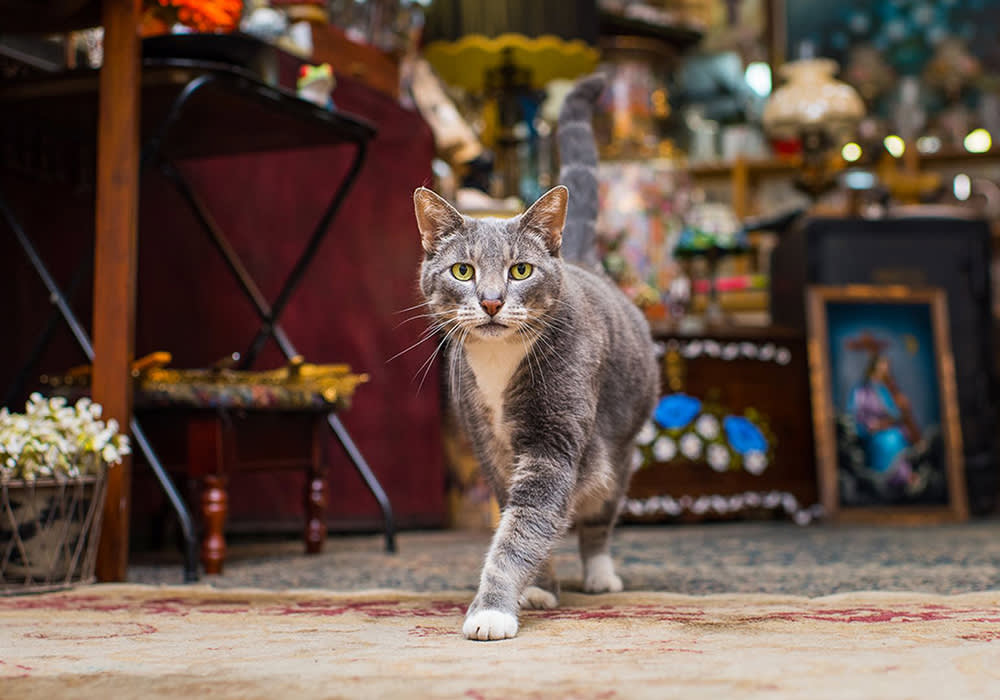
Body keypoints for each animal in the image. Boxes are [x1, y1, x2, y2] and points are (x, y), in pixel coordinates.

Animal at [412, 75, 656, 640]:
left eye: (520, 270)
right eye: (462, 271)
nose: (492, 300)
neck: (498, 361)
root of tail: (583, 260)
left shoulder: (552, 444)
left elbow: (521, 532)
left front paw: (491, 610)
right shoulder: (489, 448)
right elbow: (517, 518)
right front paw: (539, 588)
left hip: (618, 453)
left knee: (600, 515)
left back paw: (601, 575)